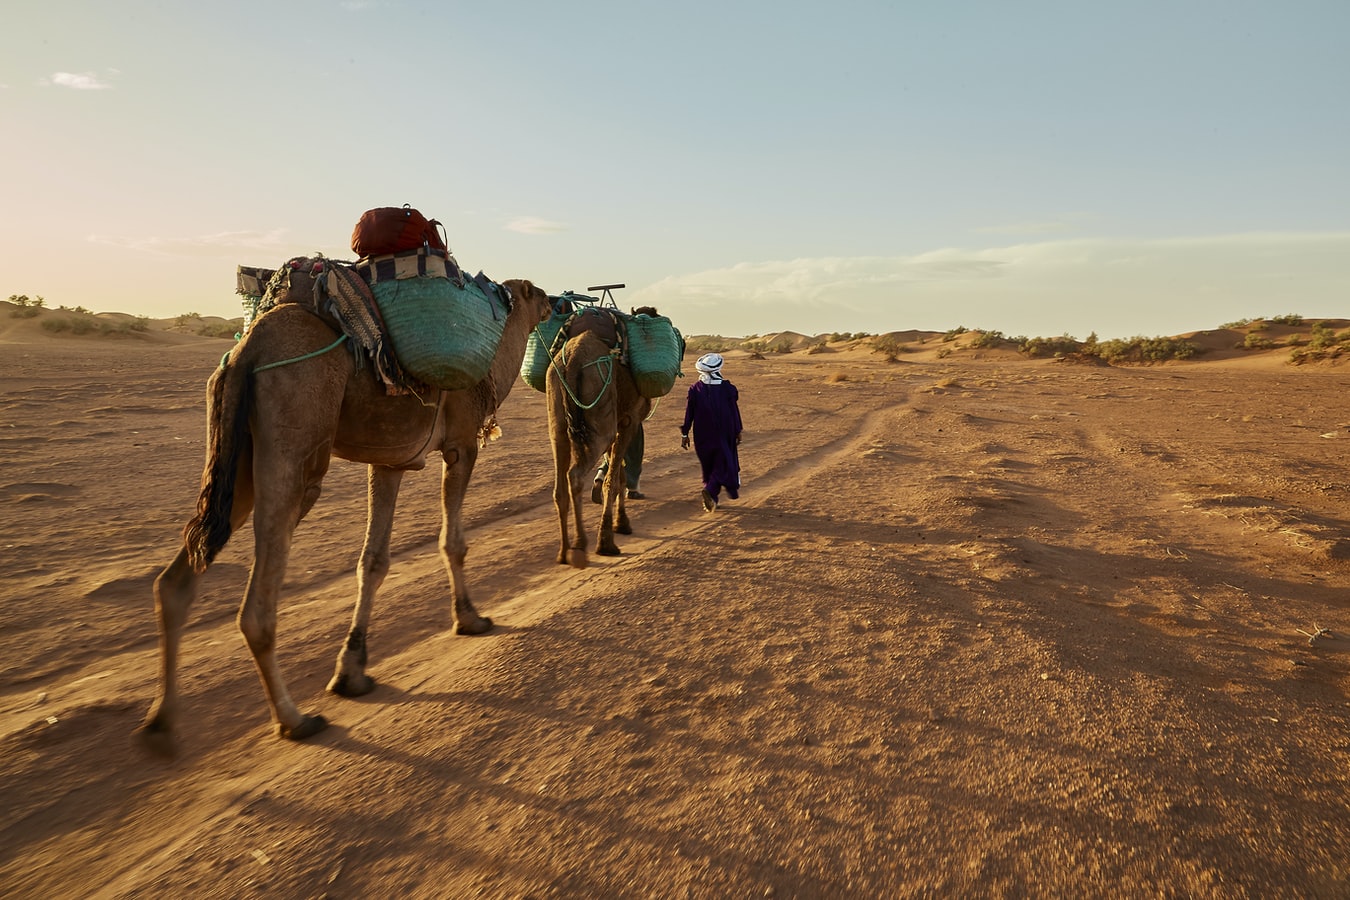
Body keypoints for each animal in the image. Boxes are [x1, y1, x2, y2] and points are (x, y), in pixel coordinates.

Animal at [139, 261, 550, 755]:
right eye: (536, 293)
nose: (556, 303)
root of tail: (246, 352)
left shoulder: (391, 460)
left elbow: (373, 561)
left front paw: (351, 669)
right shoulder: (462, 445)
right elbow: (452, 542)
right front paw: (470, 618)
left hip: (236, 459)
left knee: (174, 581)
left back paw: (162, 722)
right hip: (296, 437)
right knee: (257, 607)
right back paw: (294, 719)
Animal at [548, 330, 653, 569]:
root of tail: (573, 360)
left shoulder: (619, 422)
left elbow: (618, 475)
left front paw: (621, 523)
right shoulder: (629, 419)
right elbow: (613, 481)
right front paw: (608, 540)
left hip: (557, 420)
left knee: (559, 487)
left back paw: (563, 552)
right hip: (599, 412)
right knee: (575, 475)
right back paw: (580, 547)